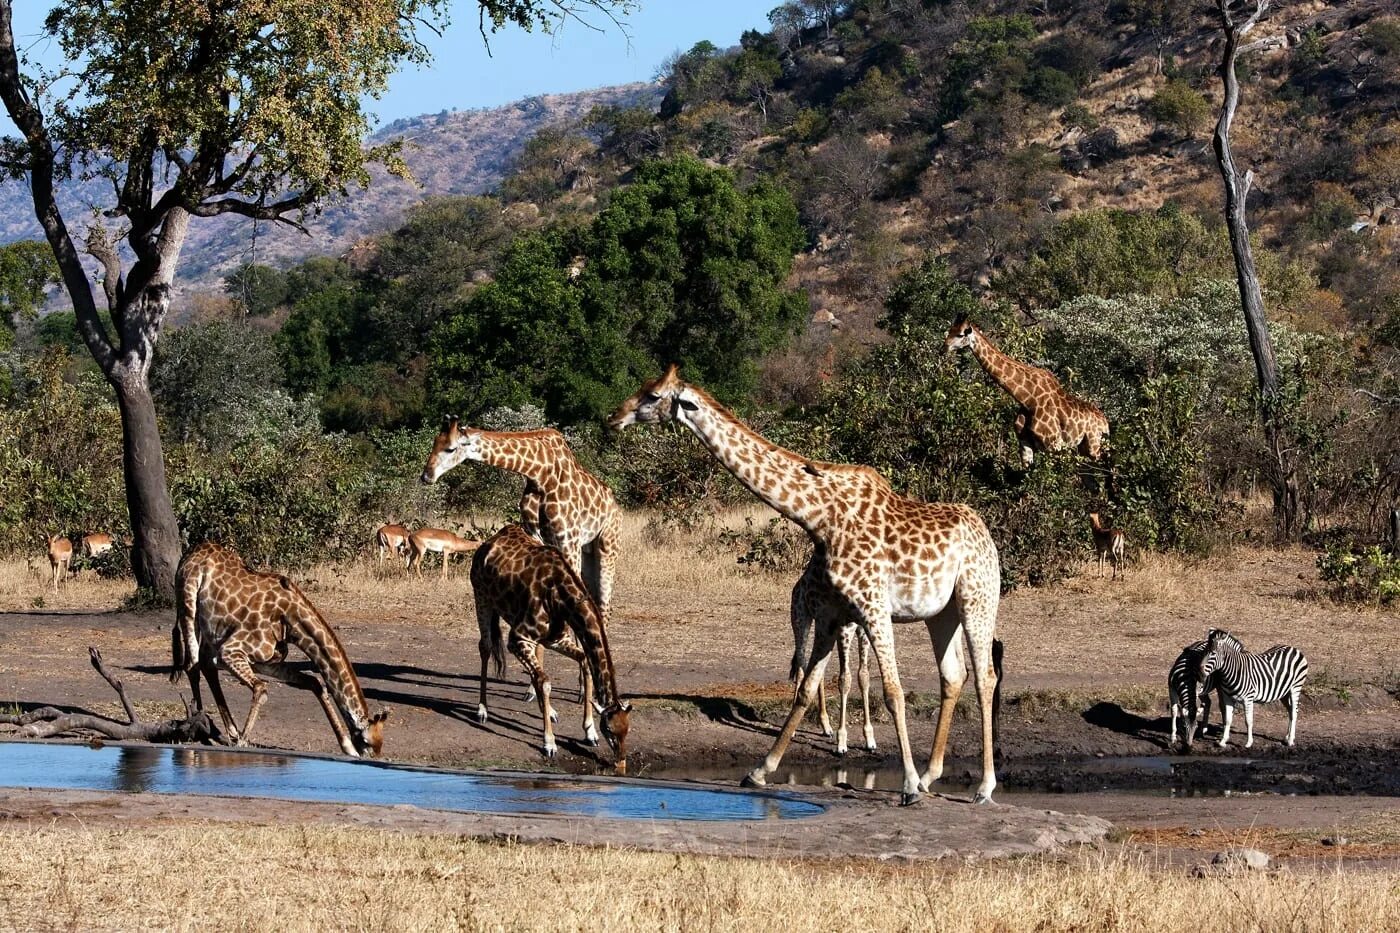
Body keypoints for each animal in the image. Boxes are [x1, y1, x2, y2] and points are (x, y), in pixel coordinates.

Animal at [175, 537, 397, 756]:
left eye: (380, 745)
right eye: (367, 743)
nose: (374, 760)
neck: (291, 621)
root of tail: (191, 552)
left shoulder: (265, 660)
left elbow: (315, 683)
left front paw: (347, 746)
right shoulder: (230, 651)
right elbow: (261, 689)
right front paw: (242, 742)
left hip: (210, 631)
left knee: (204, 665)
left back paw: (222, 730)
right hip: (187, 603)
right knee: (193, 665)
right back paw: (201, 725)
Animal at [470, 523, 630, 767]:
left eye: (628, 730)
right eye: (610, 730)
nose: (620, 761)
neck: (562, 597)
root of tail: (486, 545)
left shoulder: (555, 639)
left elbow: (582, 661)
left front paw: (589, 732)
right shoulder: (518, 638)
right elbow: (545, 682)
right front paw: (549, 743)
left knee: (535, 669)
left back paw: (550, 711)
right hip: (482, 598)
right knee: (486, 647)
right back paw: (482, 710)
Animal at [607, 364, 1002, 801]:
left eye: (653, 396)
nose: (612, 418)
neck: (820, 519)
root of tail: (986, 534)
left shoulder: (872, 607)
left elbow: (893, 692)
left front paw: (908, 786)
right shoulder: (831, 615)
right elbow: (806, 689)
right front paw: (760, 771)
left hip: (978, 599)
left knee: (985, 677)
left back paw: (982, 786)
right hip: (941, 612)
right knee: (953, 676)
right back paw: (932, 775)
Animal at [946, 312, 1108, 465]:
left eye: (960, 334)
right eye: (949, 331)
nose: (943, 348)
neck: (1028, 398)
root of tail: (1105, 423)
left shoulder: (1053, 444)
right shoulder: (1025, 444)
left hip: (1093, 447)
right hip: (1082, 449)